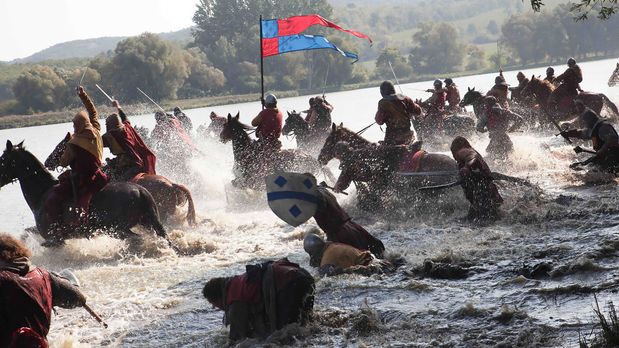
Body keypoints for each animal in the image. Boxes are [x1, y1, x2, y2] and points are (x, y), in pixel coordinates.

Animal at [0, 140, 172, 246]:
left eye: (2, 160)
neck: (42, 193)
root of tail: (140, 191)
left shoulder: (55, 241)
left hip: (119, 230)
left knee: (137, 238)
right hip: (148, 222)